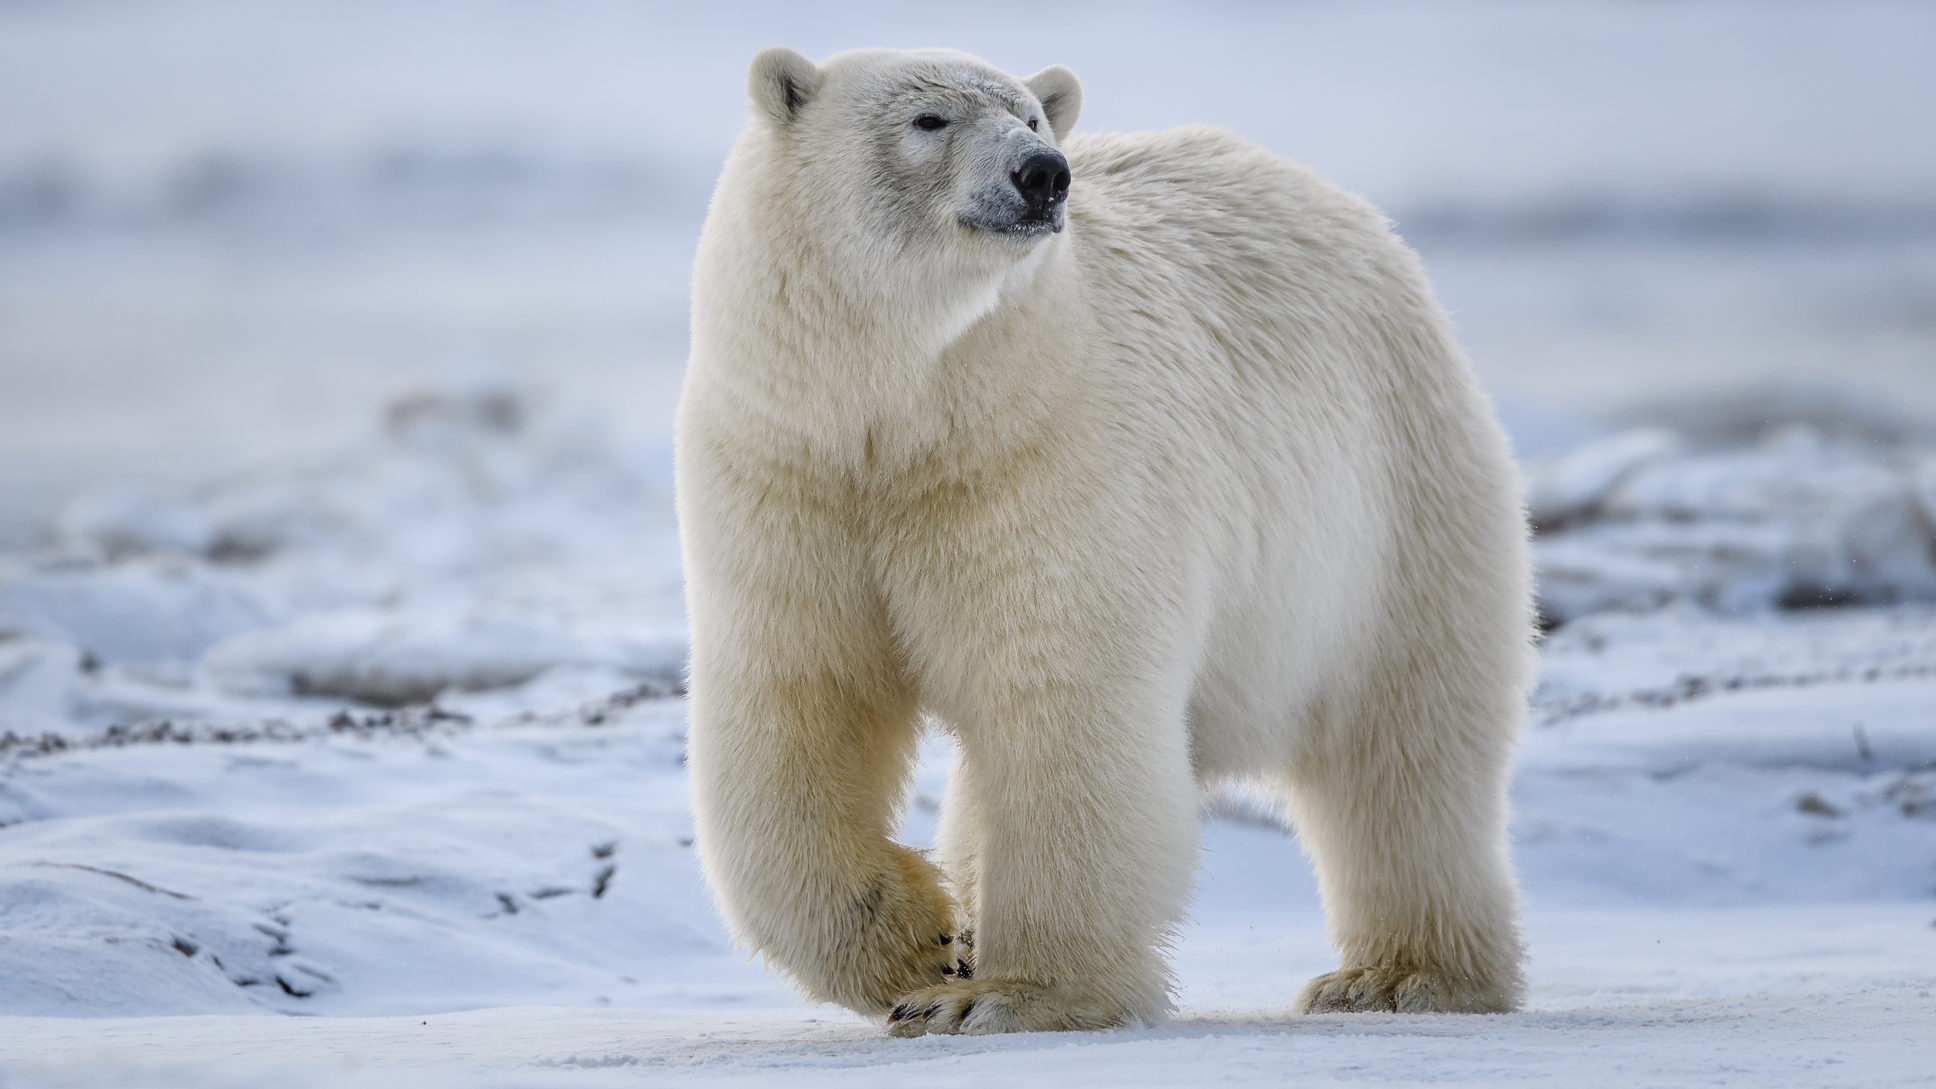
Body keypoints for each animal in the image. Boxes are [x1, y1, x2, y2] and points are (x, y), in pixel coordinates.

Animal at [673, 46, 1533, 1030]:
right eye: (930, 119)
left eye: (1031, 118)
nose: (1043, 174)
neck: (902, 413)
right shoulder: (790, 471)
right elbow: (797, 699)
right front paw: (922, 947)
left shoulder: (1043, 454)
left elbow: (1062, 696)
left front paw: (1007, 992)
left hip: (1391, 507)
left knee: (1405, 753)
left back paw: (1398, 976)